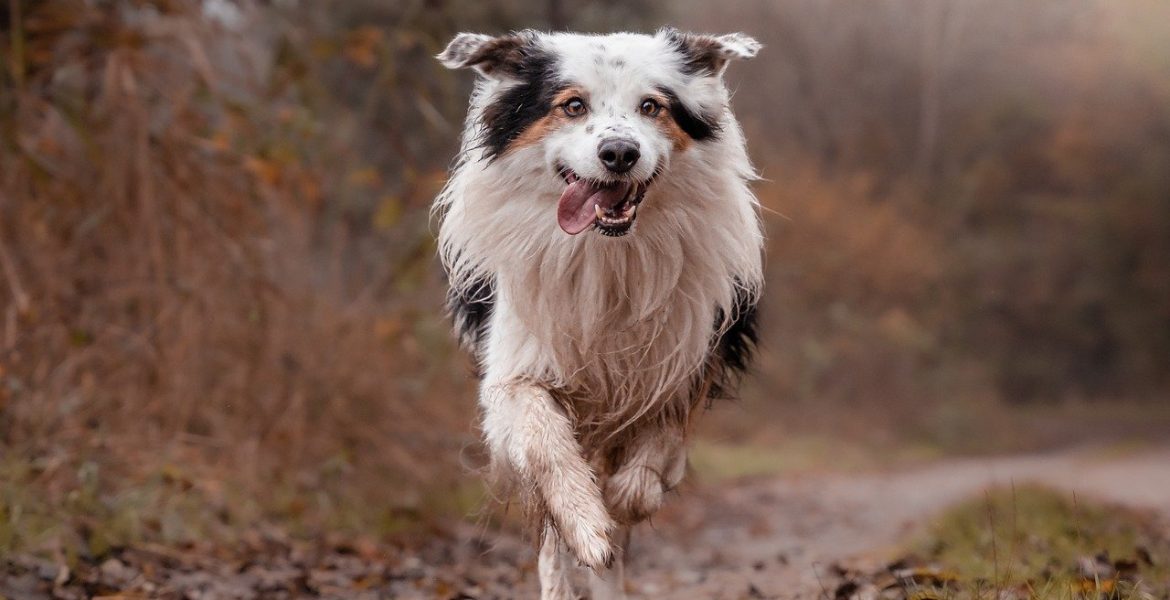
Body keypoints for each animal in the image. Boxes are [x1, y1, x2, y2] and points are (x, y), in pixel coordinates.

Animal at [435, 29, 762, 598]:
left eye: (651, 106)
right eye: (572, 106)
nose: (619, 152)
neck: (606, 254)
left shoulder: (684, 361)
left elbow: (653, 457)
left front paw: (623, 499)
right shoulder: (513, 373)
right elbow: (545, 445)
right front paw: (588, 524)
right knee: (552, 543)